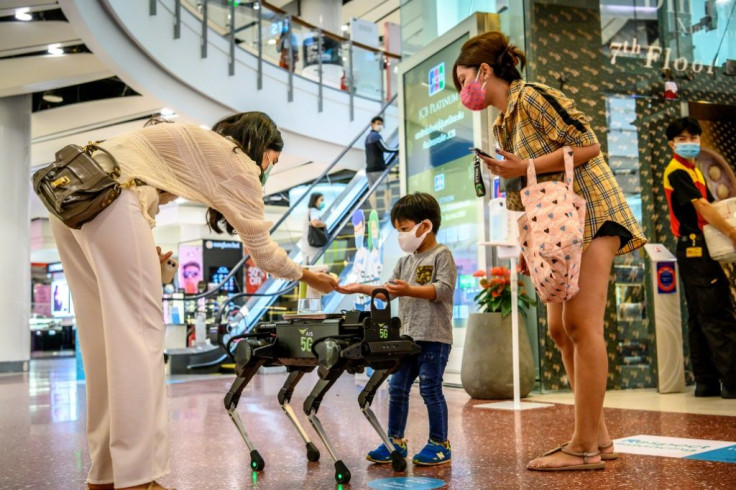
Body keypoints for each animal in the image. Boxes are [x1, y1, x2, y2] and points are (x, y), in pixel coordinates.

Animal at [221, 290, 420, 484]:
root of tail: (263, 328)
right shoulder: (331, 360)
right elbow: (309, 406)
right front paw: (341, 470)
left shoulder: (390, 361)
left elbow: (363, 399)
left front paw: (396, 458)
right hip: (252, 357)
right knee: (230, 398)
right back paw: (256, 458)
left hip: (302, 365)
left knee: (282, 396)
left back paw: (310, 448)